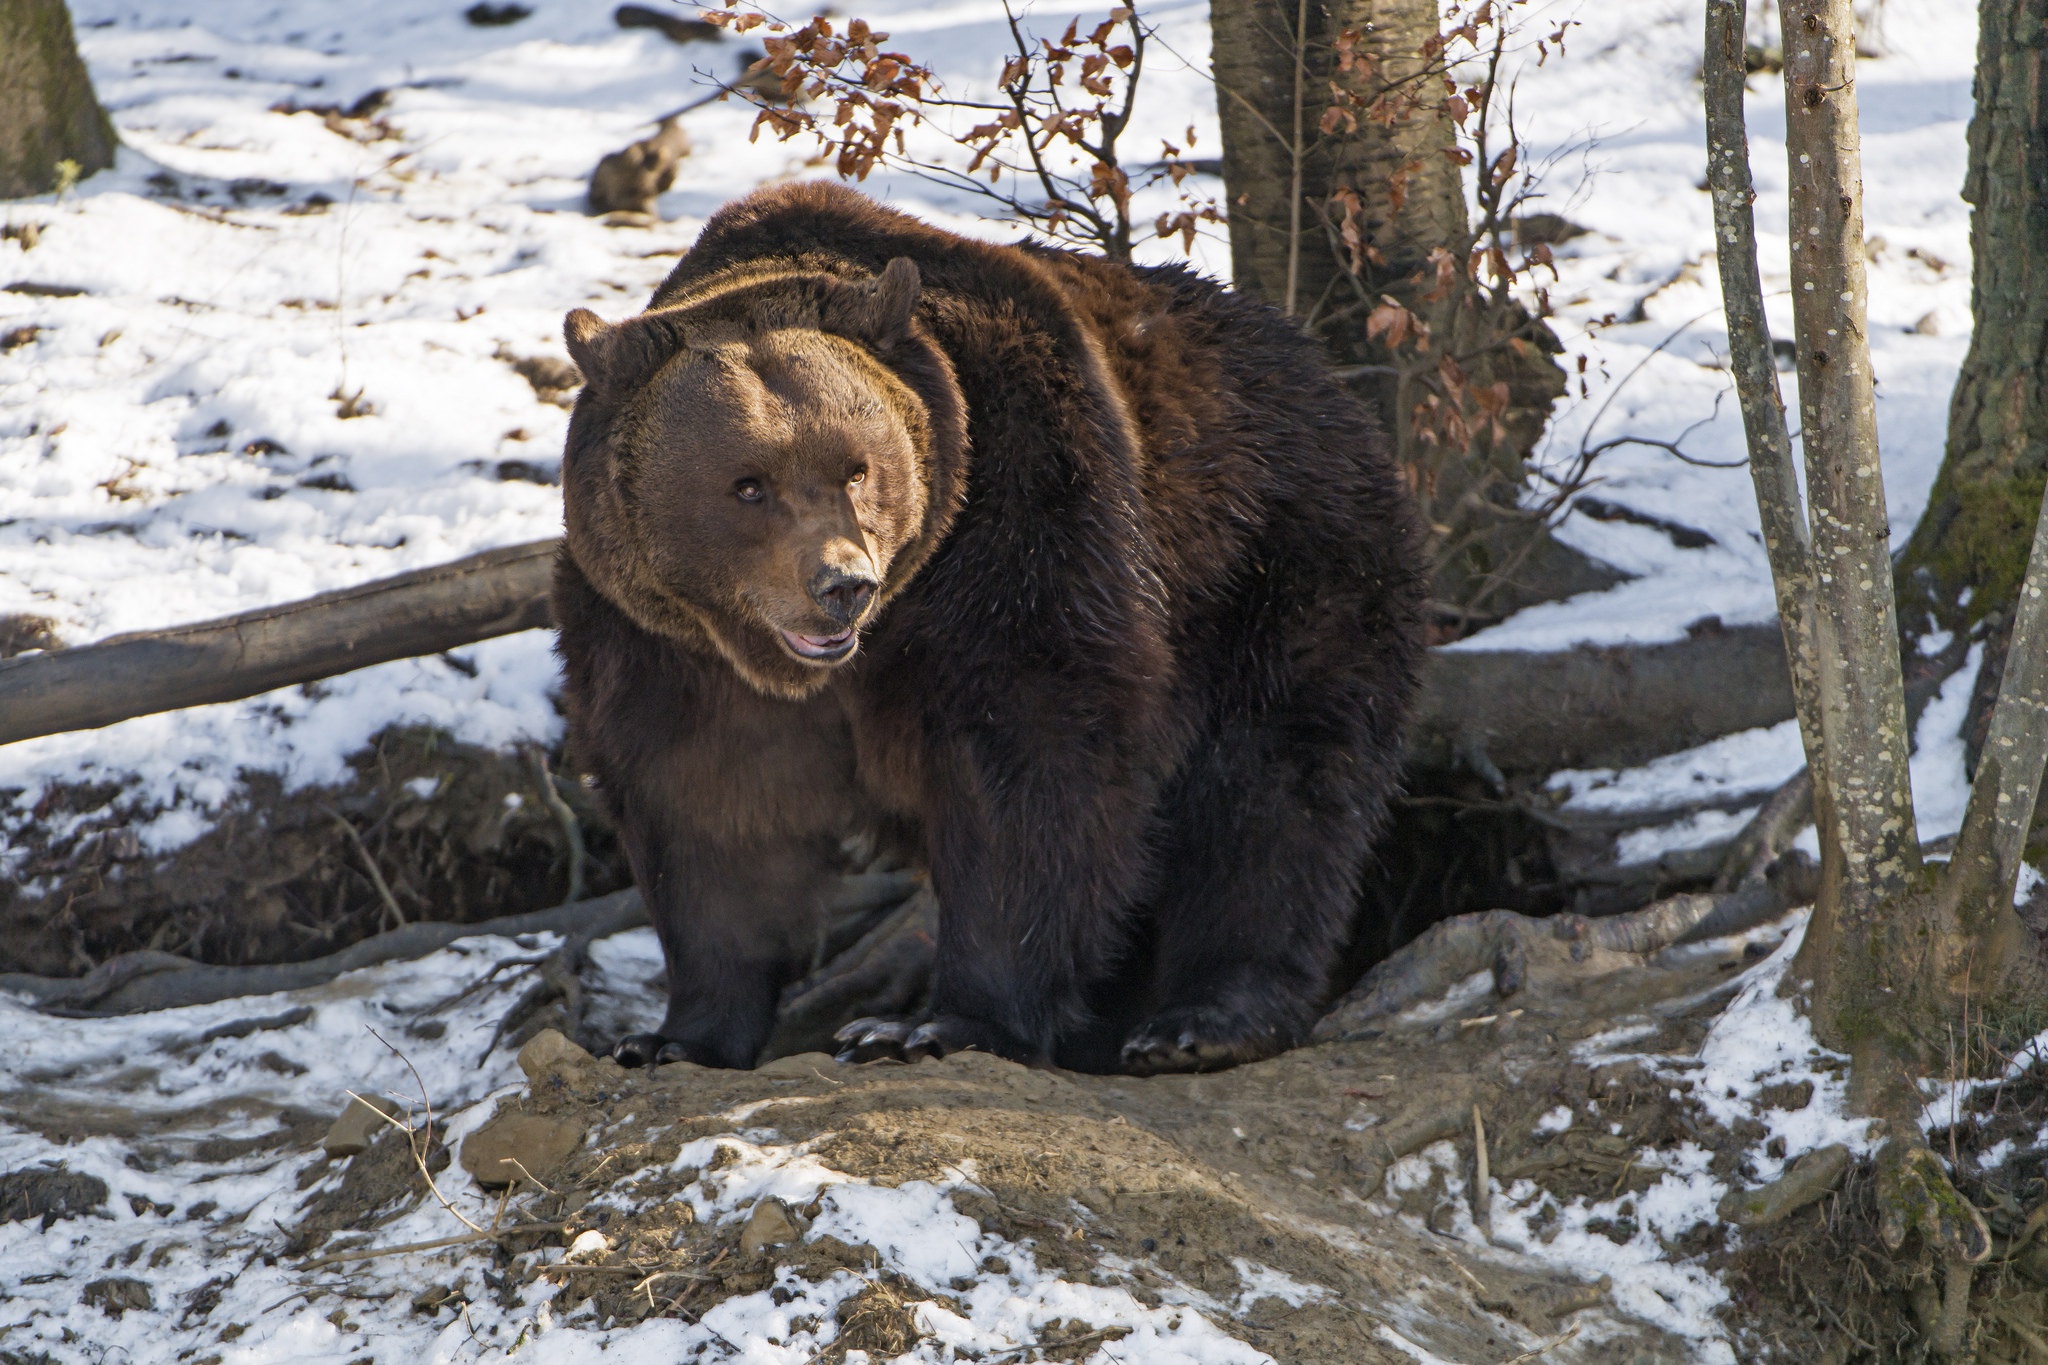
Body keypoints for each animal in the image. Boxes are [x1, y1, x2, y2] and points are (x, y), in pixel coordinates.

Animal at [552, 184, 1433, 1080]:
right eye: (748, 484)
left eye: (856, 467)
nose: (842, 585)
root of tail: (1322, 371)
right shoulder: (659, 636)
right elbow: (706, 809)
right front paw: (671, 1036)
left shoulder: (1018, 516)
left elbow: (1028, 757)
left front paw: (928, 1024)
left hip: (1272, 559)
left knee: (1272, 783)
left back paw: (1201, 1020)